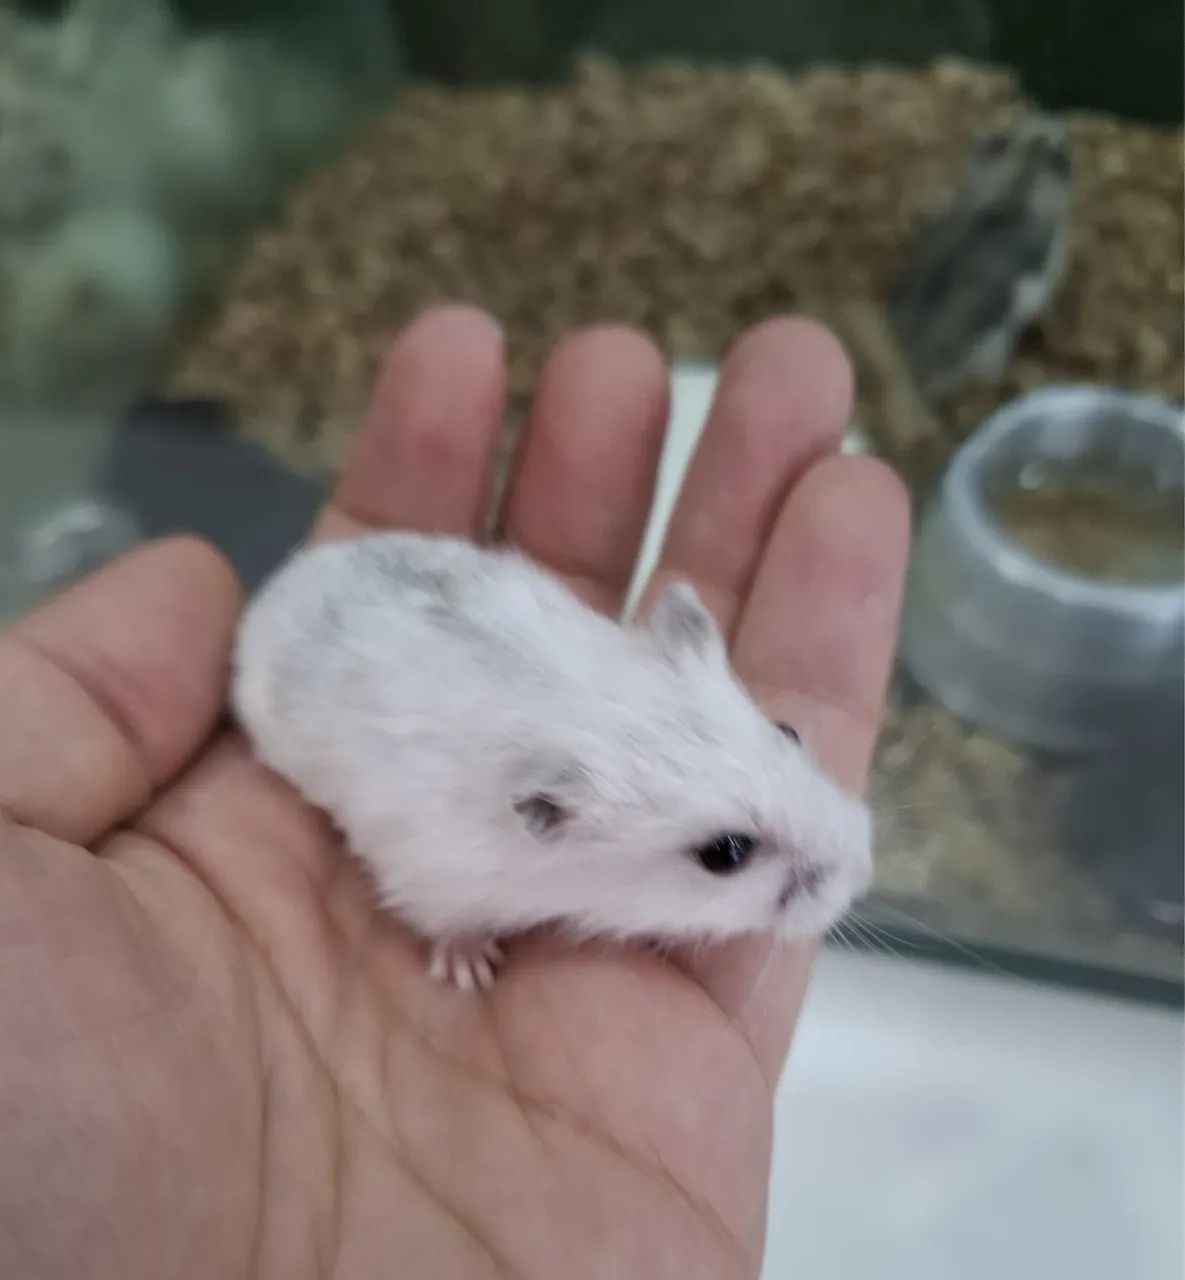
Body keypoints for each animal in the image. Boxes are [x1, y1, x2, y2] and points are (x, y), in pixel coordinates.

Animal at [233, 532, 873, 990]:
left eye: (788, 731)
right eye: (725, 854)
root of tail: (279, 583)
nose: (863, 875)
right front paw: (473, 970)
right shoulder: (431, 878)